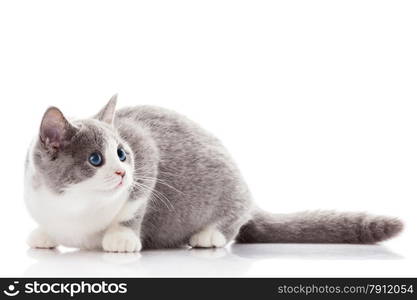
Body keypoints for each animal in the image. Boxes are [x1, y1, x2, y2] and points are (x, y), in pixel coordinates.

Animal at [23, 96, 404, 251]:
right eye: (95, 159)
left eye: (122, 154)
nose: (121, 173)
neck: (75, 208)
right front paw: (44, 235)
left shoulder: (146, 156)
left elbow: (134, 205)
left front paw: (122, 237)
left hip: (231, 194)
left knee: (235, 219)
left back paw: (209, 236)